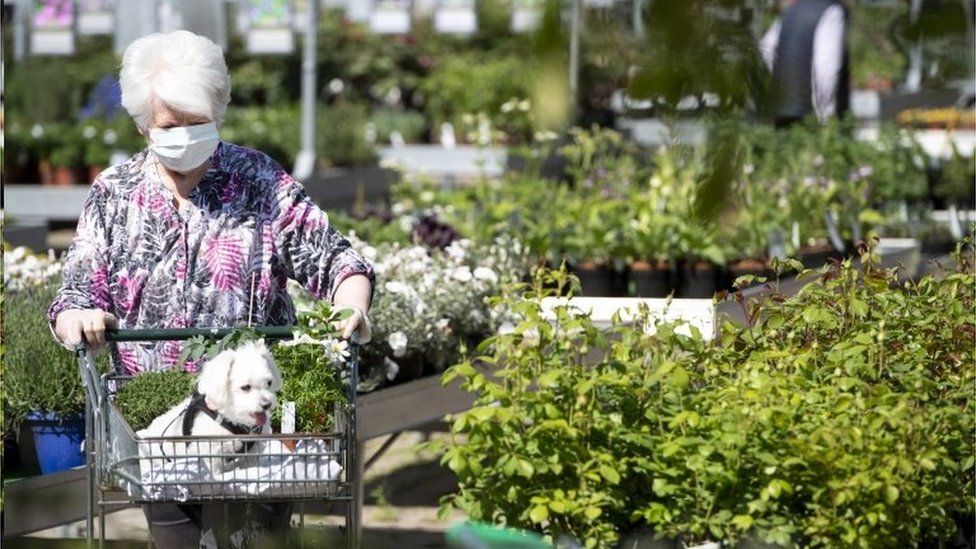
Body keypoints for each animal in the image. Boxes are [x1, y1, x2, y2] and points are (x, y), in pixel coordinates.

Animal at [137, 338, 282, 476]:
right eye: (245, 387)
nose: (267, 404)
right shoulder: (211, 453)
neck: (233, 421)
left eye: (269, 383)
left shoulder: (252, 450)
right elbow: (215, 473)